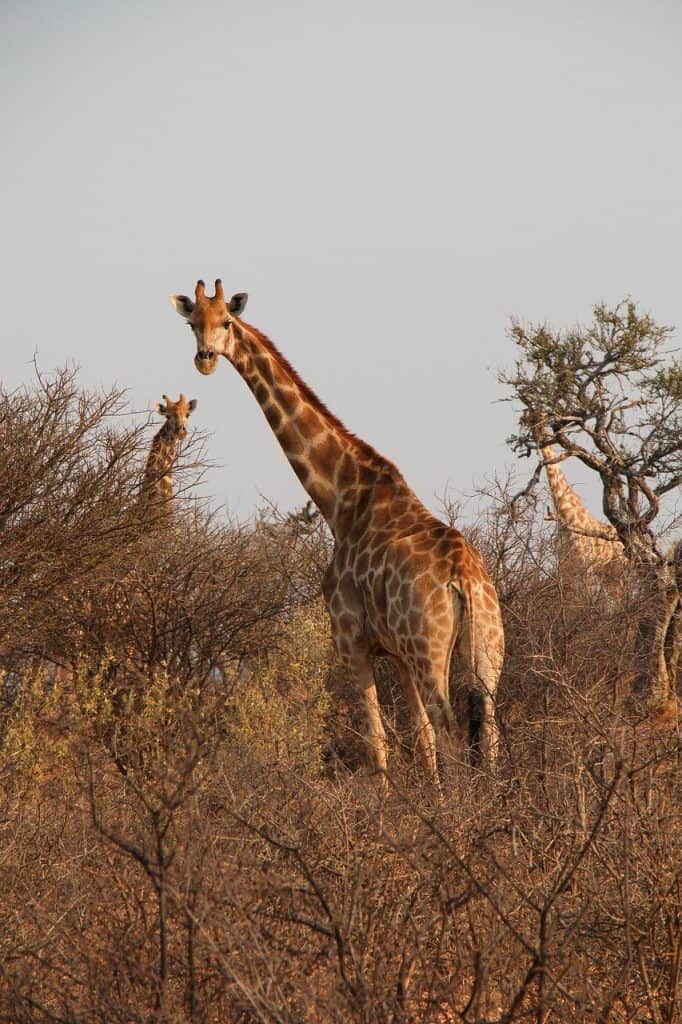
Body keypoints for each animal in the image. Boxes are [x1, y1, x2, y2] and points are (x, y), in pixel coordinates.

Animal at [169, 280, 499, 782]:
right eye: (192, 323)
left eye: (225, 320)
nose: (204, 358)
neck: (341, 499)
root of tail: (465, 579)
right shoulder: (396, 652)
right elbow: (419, 741)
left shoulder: (351, 640)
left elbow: (377, 745)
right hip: (485, 650)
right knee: (488, 732)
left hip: (431, 649)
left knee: (454, 733)